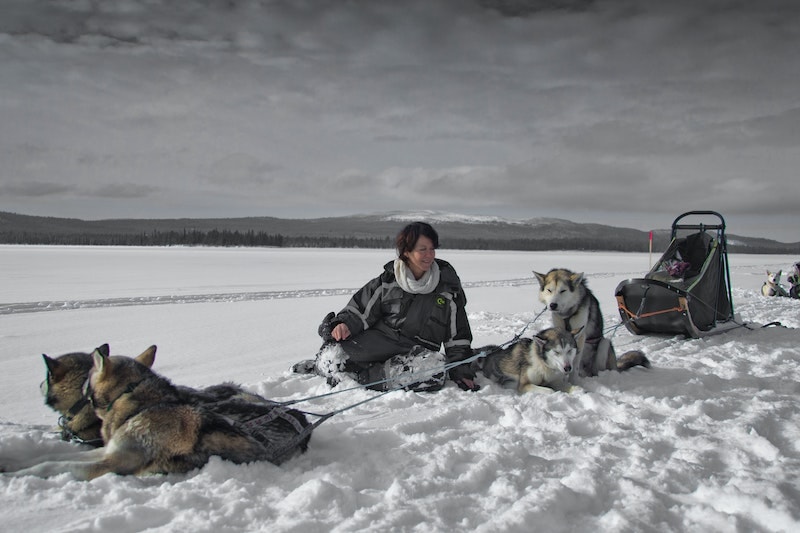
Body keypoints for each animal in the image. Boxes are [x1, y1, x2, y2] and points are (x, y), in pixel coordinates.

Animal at [6, 350, 312, 478]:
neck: (141, 406)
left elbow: (53, 466)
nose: (39, 385)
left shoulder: (115, 462)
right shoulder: (108, 449)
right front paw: (13, 462)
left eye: (87, 381)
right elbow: (50, 457)